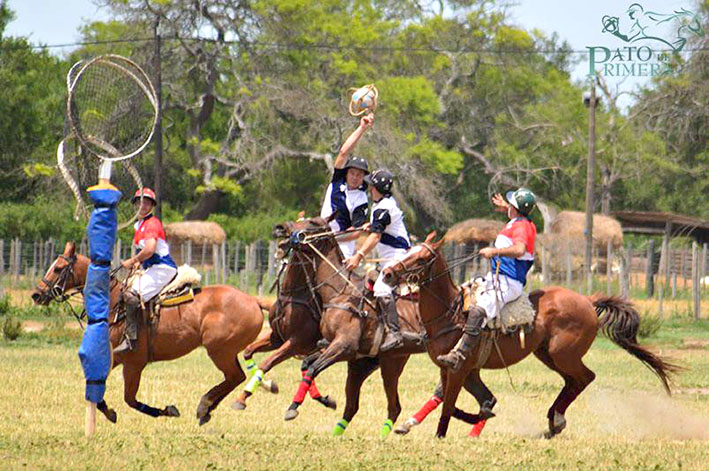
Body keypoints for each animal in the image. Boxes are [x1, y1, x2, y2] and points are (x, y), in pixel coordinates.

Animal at [31, 243, 266, 428]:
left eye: (58, 268)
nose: (36, 294)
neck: (113, 303)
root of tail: (254, 300)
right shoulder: (114, 358)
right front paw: (109, 411)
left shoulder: (133, 363)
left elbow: (130, 399)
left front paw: (166, 410)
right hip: (223, 351)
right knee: (235, 377)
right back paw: (207, 409)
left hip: (218, 349)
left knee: (235, 377)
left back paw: (204, 405)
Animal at [272, 218, 492, 438]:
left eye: (310, 223)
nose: (279, 228)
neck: (340, 291)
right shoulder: (341, 349)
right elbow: (307, 365)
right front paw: (323, 401)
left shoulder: (344, 346)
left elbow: (312, 369)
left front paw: (292, 408)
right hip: (387, 363)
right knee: (394, 404)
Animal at [382, 235, 680, 438]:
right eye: (408, 251)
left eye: (421, 258)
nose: (386, 273)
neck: (448, 313)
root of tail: (587, 300)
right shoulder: (462, 370)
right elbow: (457, 399)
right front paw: (409, 424)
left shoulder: (459, 368)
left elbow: (450, 405)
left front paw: (442, 434)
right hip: (547, 354)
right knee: (573, 381)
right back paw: (554, 421)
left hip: (564, 354)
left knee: (585, 377)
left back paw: (555, 419)